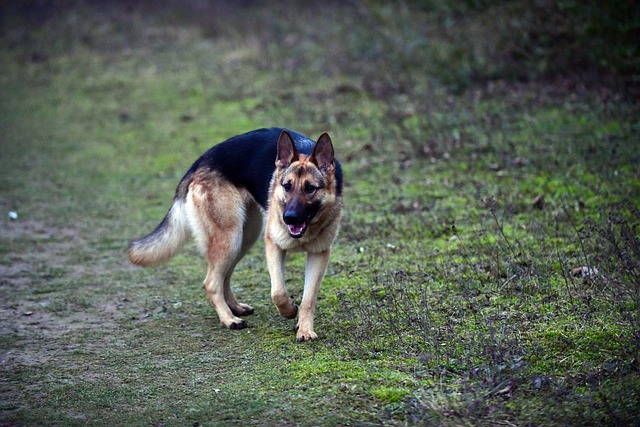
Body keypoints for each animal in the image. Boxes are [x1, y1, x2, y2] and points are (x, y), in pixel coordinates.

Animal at [127, 129, 342, 342]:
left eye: (310, 188)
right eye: (287, 186)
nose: (288, 218)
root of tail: (199, 162)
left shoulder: (319, 254)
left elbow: (309, 298)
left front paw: (304, 329)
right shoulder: (274, 245)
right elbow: (278, 292)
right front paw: (289, 311)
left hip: (244, 238)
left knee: (224, 277)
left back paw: (235, 308)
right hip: (230, 238)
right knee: (211, 282)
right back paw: (229, 319)